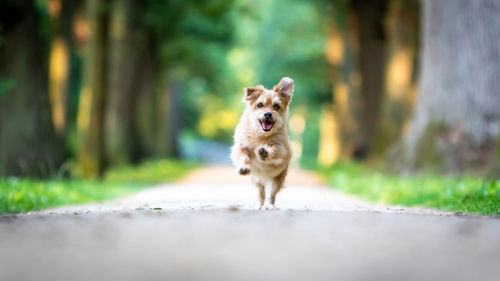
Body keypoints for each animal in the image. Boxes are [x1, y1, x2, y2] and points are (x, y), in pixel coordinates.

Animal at [230, 76, 292, 208]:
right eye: (260, 105)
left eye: (276, 106)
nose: (268, 114)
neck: (262, 136)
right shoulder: (241, 145)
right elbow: (243, 155)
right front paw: (244, 167)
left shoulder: (284, 150)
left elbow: (275, 150)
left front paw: (264, 152)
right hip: (257, 180)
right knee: (261, 192)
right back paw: (259, 205)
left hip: (277, 179)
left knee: (271, 195)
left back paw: (269, 206)